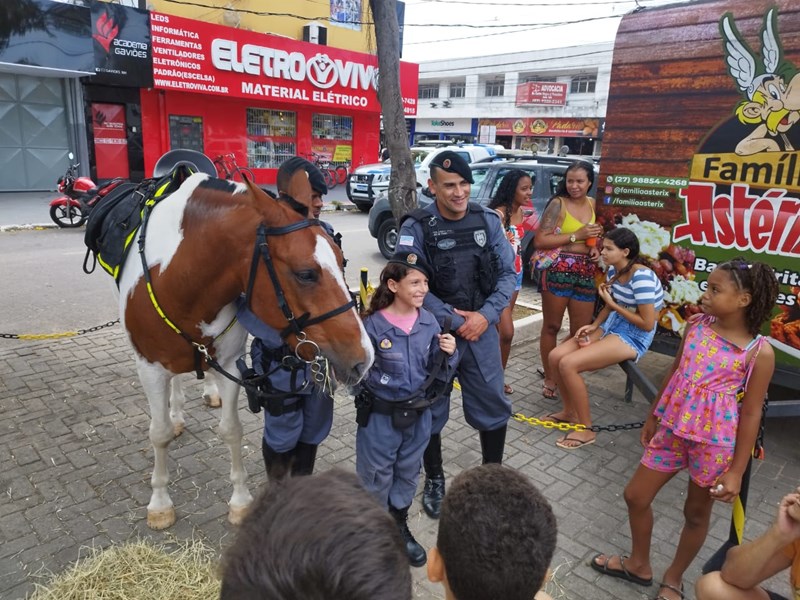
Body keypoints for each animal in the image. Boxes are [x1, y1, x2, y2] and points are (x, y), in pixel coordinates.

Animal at [117, 171, 374, 528]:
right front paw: (159, 502)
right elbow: (159, 434)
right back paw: (177, 412)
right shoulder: (149, 368)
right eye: (305, 274)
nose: (364, 358)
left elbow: (231, 430)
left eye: (343, 260)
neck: (179, 279)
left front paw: (239, 501)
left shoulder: (229, 362)